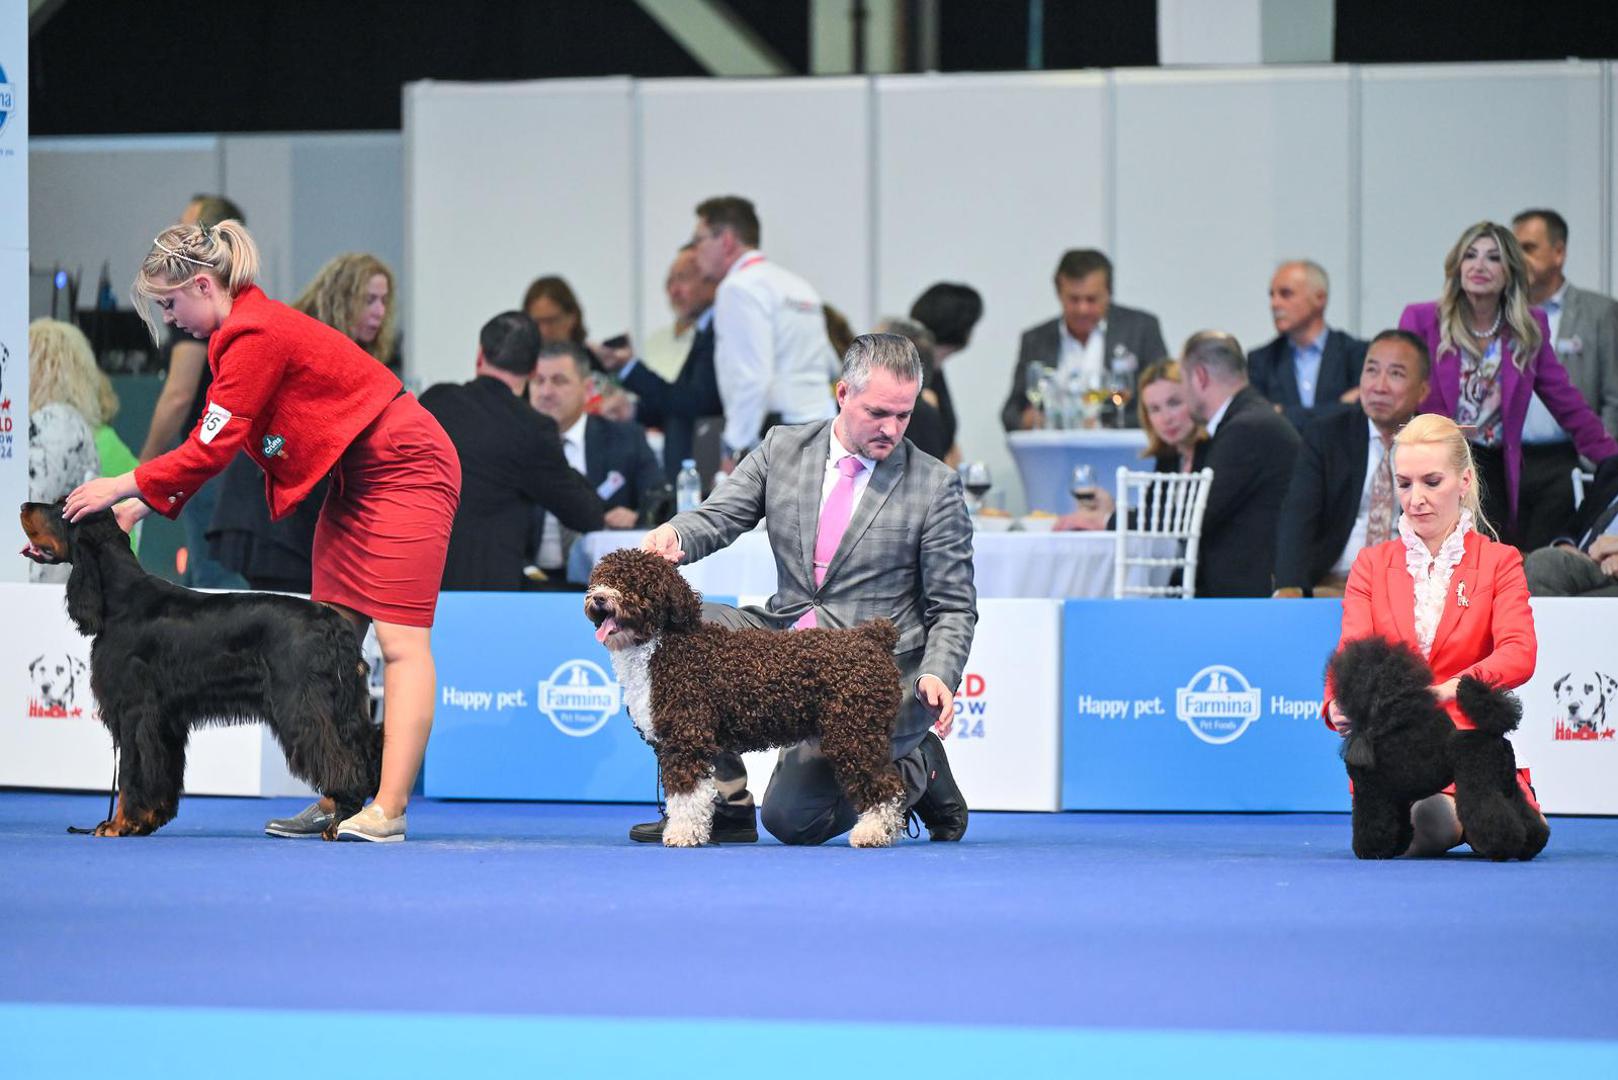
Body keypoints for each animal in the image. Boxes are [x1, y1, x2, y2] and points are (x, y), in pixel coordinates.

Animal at [21, 501, 378, 841]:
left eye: (60, 507)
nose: (24, 506)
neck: (121, 599)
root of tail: (332, 623)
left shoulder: (134, 711)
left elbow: (129, 772)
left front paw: (118, 824)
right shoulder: (163, 720)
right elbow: (158, 771)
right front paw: (145, 821)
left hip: (301, 706)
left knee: (343, 761)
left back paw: (340, 822)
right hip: (344, 706)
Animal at [585, 553, 919, 848]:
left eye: (634, 583)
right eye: (601, 578)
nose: (599, 598)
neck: (664, 646)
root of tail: (871, 637)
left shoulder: (686, 737)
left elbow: (686, 794)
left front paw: (682, 833)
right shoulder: (676, 741)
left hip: (853, 733)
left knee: (884, 785)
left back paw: (873, 832)